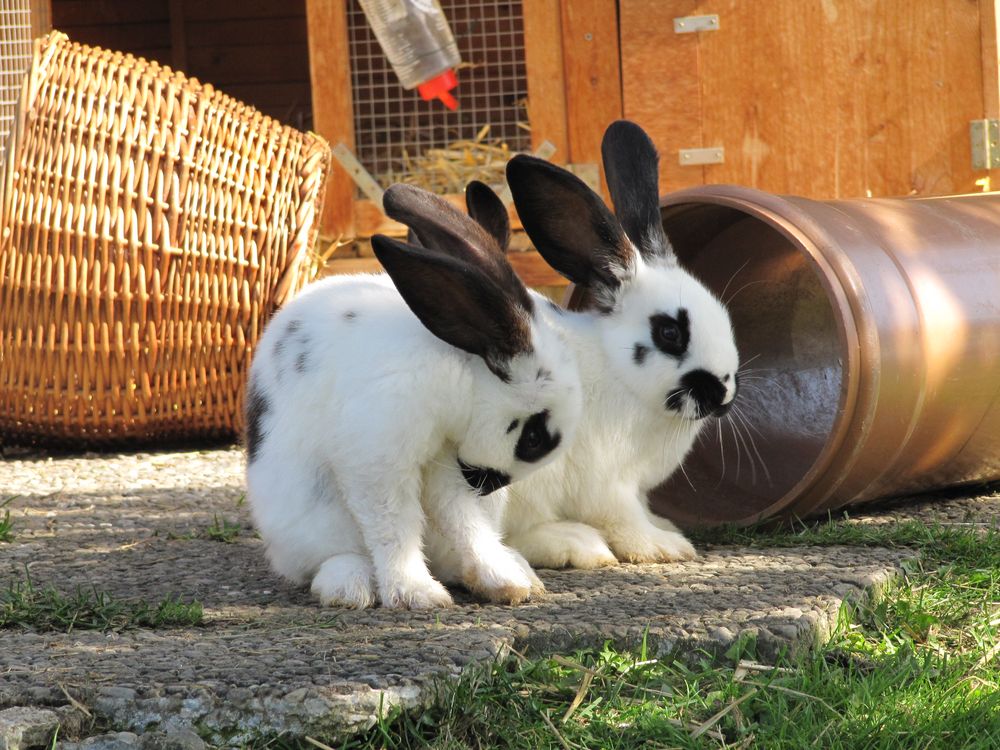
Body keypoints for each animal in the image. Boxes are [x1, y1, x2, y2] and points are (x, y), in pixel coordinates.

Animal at [245, 182, 584, 612]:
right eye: (534, 436)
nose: (489, 487)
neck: (455, 374)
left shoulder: (446, 465)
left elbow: (464, 521)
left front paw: (504, 583)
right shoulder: (377, 460)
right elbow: (395, 527)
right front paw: (417, 594)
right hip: (309, 516)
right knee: (330, 557)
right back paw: (349, 588)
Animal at [500, 119, 744, 568]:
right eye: (670, 333)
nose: (723, 396)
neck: (618, 376)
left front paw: (665, 526)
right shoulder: (608, 485)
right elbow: (624, 519)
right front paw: (665, 547)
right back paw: (576, 545)